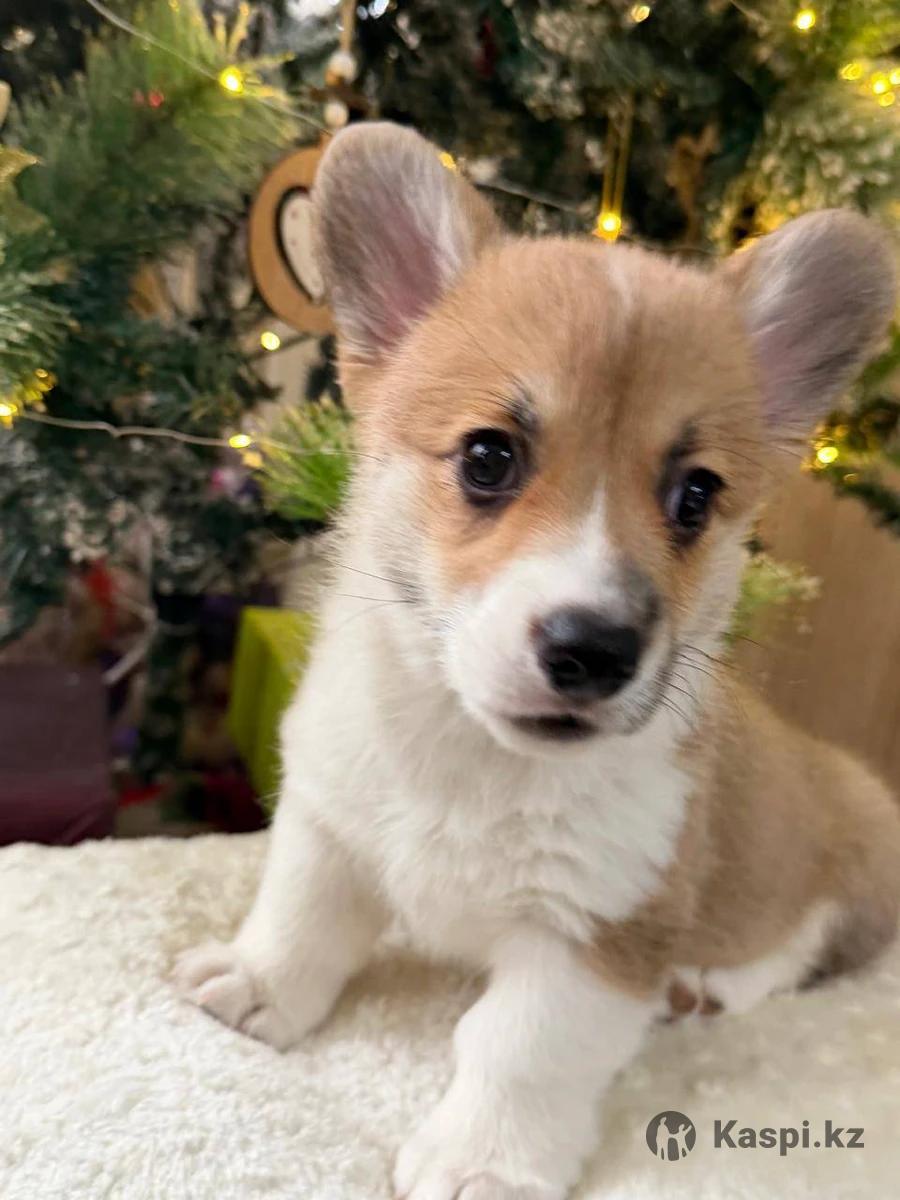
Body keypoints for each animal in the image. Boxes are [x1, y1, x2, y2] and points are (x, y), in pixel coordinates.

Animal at [176, 123, 900, 1200]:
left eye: (695, 496)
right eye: (488, 457)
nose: (594, 649)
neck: (470, 757)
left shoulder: (599, 930)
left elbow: (520, 1049)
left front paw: (484, 1162)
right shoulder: (328, 820)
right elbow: (299, 915)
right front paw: (256, 985)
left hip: (847, 852)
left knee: (810, 946)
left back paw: (710, 986)